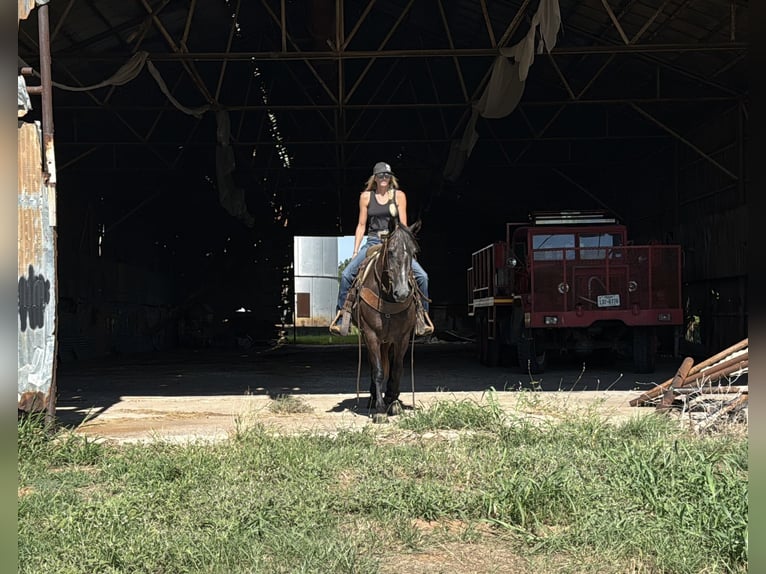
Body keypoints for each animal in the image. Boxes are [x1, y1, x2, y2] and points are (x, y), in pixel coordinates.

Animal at [351, 221, 421, 417]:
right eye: (390, 251)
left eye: (414, 252)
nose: (402, 293)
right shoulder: (371, 334)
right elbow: (378, 370)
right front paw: (380, 409)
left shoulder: (402, 338)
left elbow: (396, 369)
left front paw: (393, 401)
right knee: (374, 364)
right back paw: (374, 398)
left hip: (388, 341)